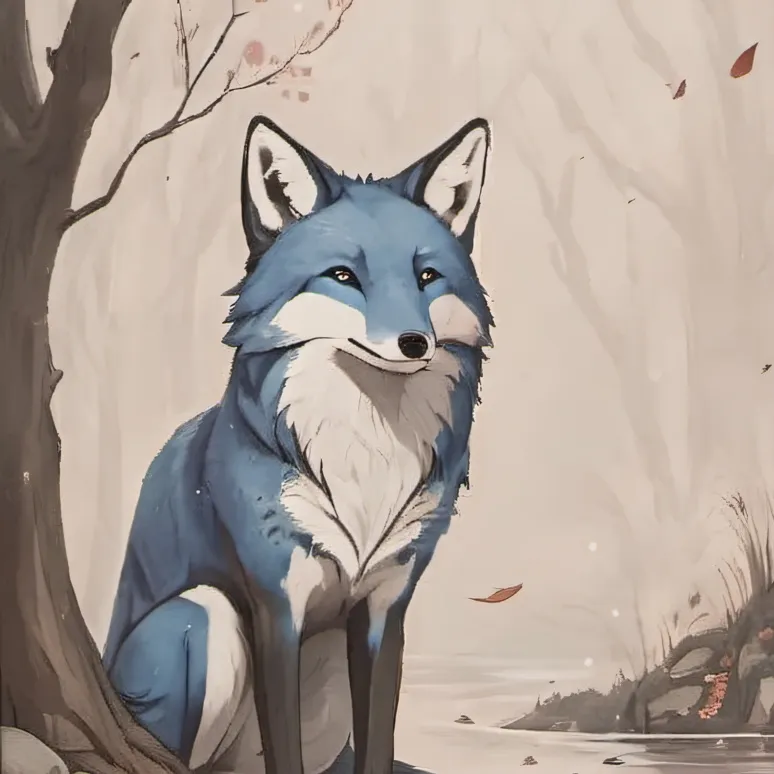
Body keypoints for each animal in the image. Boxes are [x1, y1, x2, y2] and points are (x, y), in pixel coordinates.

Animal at [102, 115, 493, 774]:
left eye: (426, 277)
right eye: (343, 277)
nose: (415, 342)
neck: (365, 456)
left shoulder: (385, 608)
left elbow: (378, 742)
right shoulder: (276, 607)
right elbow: (284, 743)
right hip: (205, 613)